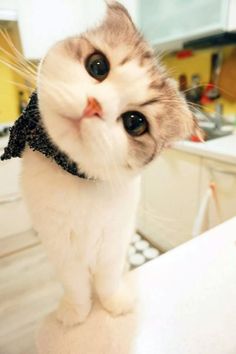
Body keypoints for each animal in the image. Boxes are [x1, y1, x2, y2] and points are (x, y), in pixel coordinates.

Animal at [19, 2, 194, 326]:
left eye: (135, 123)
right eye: (97, 66)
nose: (93, 106)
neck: (78, 178)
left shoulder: (114, 243)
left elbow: (109, 279)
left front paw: (114, 303)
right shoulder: (60, 248)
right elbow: (75, 284)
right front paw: (76, 312)